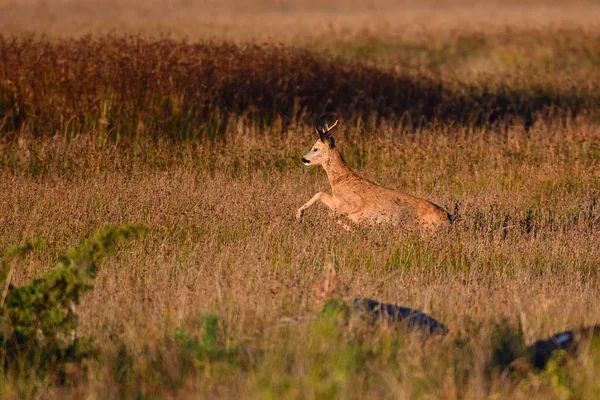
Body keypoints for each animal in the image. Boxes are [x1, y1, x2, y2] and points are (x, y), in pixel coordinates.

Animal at [296, 115, 454, 231]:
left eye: (315, 148)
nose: (303, 159)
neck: (342, 180)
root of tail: (450, 217)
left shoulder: (353, 203)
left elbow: (331, 214)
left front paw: (352, 230)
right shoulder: (336, 201)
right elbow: (320, 194)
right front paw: (299, 216)